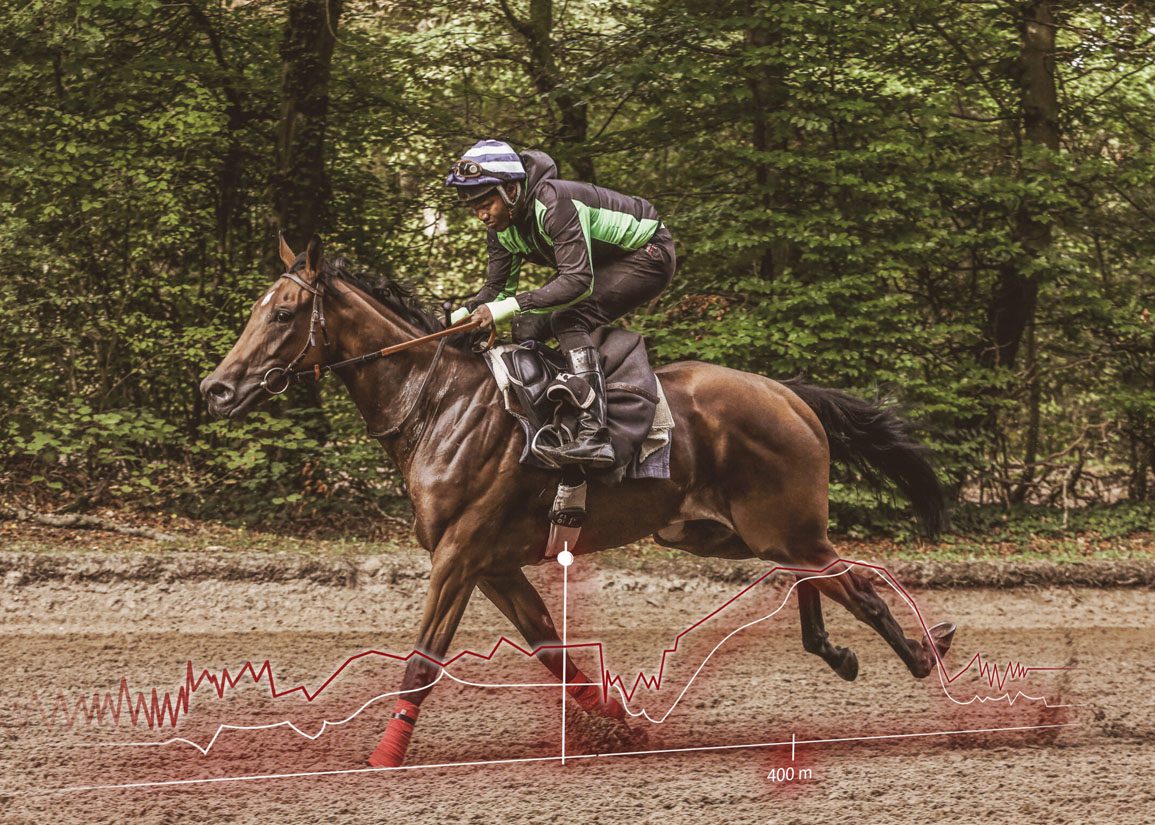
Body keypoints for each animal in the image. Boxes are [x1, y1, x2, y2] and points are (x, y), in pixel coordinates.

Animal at [200, 236, 956, 768]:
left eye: (285, 313)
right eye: (256, 310)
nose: (216, 388)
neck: (438, 403)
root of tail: (787, 392)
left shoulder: (459, 555)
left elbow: (421, 660)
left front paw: (384, 756)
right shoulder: (494, 565)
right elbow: (553, 652)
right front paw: (618, 720)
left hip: (777, 523)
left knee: (854, 584)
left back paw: (925, 652)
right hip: (725, 530)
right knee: (814, 577)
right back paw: (838, 648)